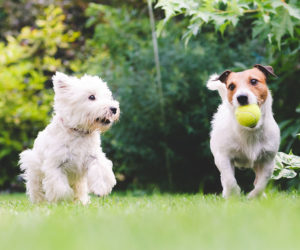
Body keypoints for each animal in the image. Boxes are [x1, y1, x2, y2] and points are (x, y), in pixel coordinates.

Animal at [18, 71, 119, 204]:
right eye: (91, 97)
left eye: (107, 96)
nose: (114, 109)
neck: (79, 132)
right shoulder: (55, 164)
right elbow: (60, 188)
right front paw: (64, 200)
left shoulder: (93, 156)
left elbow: (100, 169)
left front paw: (101, 189)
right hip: (34, 169)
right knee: (37, 189)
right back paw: (41, 202)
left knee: (79, 191)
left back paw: (81, 201)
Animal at [207, 65, 280, 199]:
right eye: (231, 86)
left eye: (254, 81)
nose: (241, 97)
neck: (250, 130)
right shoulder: (224, 157)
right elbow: (229, 180)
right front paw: (234, 194)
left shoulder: (268, 160)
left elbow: (262, 183)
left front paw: (253, 196)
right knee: (224, 178)